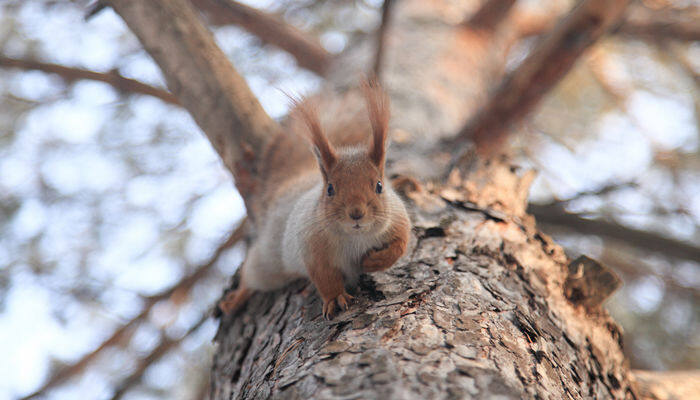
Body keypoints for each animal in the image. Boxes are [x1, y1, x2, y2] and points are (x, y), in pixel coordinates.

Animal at [216, 81, 408, 318]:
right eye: (330, 189)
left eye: (379, 186)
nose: (356, 213)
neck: (356, 237)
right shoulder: (312, 246)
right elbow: (325, 277)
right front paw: (335, 298)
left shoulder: (399, 220)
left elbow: (399, 247)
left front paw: (374, 261)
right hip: (268, 262)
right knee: (250, 275)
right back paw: (236, 299)